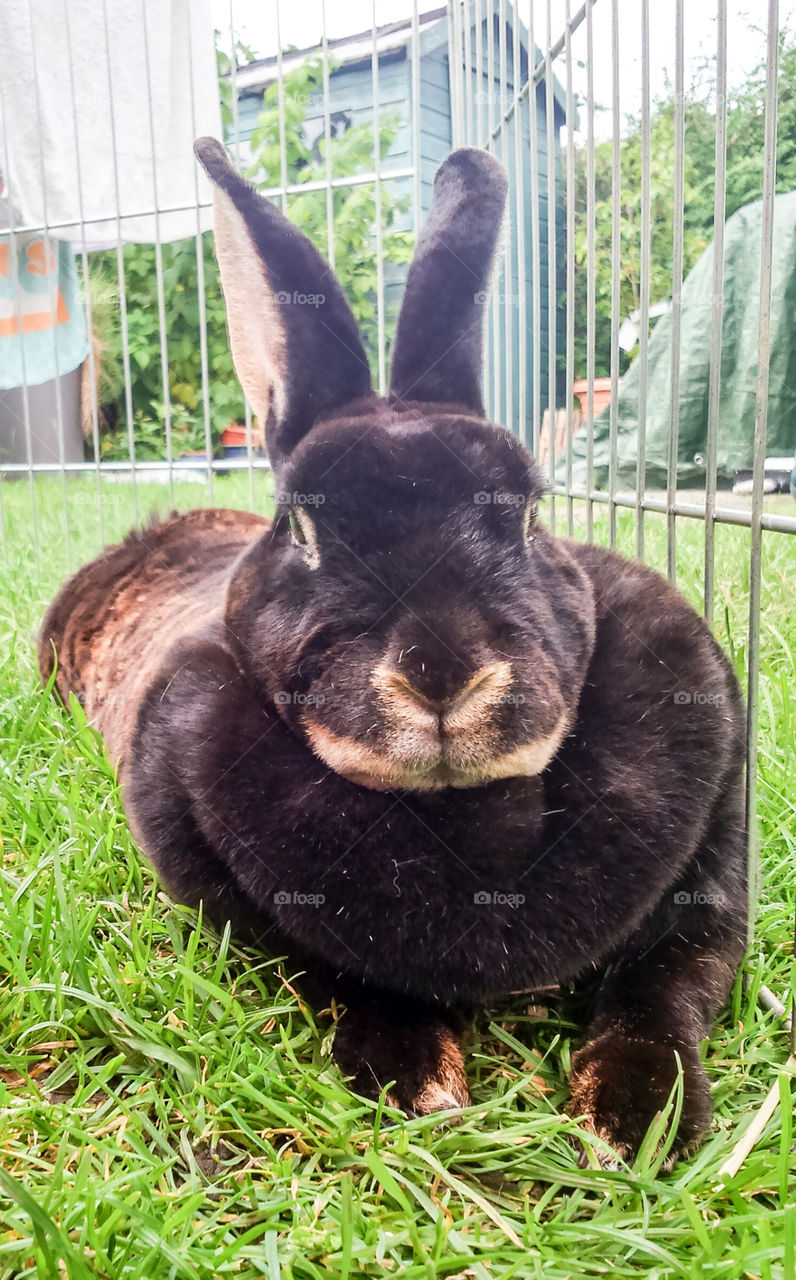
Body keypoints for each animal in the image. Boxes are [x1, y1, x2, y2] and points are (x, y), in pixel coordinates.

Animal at [39, 139, 747, 1168]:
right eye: (302, 529)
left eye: (527, 515)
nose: (443, 672)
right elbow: (338, 979)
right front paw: (417, 1081)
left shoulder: (711, 884)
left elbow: (666, 989)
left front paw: (636, 1120)